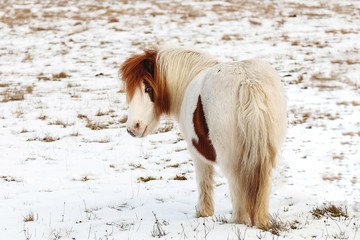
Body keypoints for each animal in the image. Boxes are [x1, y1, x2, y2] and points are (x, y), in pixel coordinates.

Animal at [119, 45, 286, 229]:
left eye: (148, 89)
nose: (133, 127)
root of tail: (247, 81)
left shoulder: (196, 152)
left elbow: (203, 180)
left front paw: (203, 212)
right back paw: (262, 222)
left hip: (230, 158)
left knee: (237, 186)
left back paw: (237, 221)